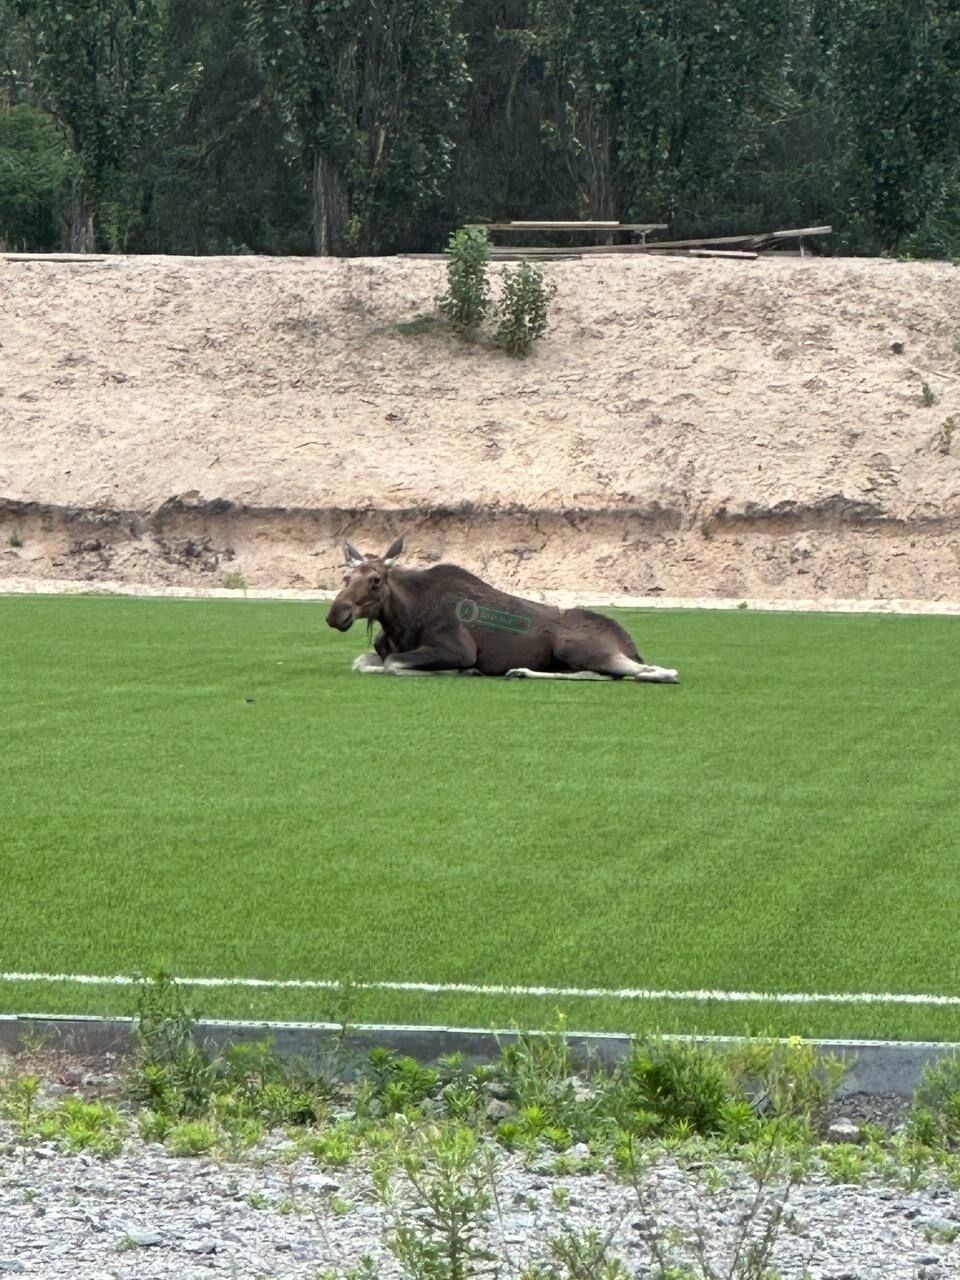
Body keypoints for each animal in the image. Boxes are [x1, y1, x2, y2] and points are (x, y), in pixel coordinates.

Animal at [327, 537, 680, 686]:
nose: (335, 615)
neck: (402, 619)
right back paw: (520, 671)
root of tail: (628, 642)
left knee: (658, 671)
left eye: (375, 580)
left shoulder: (457, 649)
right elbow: (364, 662)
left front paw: (463, 672)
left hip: (577, 647)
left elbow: (392, 664)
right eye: (345, 578)